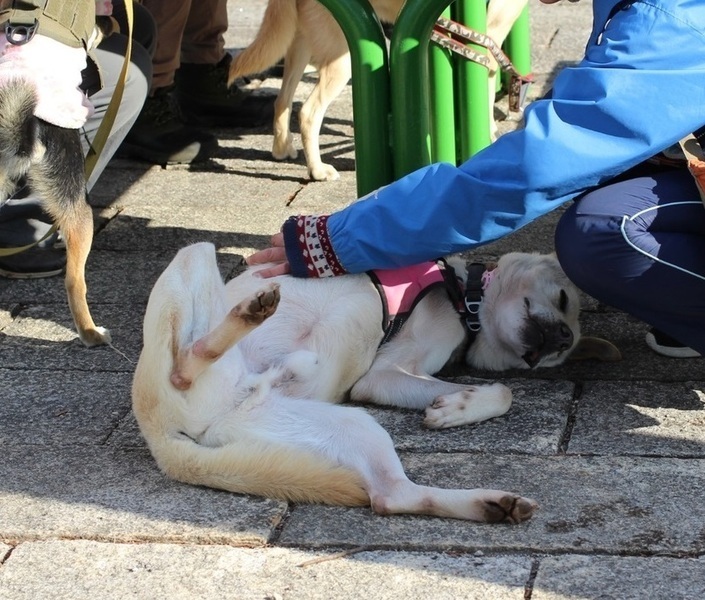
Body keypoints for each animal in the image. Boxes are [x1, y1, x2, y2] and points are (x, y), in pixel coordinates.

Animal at [132, 242, 618, 521]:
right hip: (196, 254)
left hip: (349, 425)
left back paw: (493, 505)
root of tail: (163, 443)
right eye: (563, 298)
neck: (465, 300)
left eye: (560, 355)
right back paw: (249, 314)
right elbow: (505, 390)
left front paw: (456, 407)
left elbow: (503, 390)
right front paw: (458, 406)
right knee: (185, 361)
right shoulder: (382, 376)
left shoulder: (383, 377)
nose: (565, 338)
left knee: (392, 496)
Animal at [227, 0, 529, 181]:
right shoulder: (489, 37)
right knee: (309, 112)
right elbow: (486, 88)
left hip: (299, 46)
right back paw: (318, 170)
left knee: (282, 101)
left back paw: (282, 148)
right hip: (341, 58)